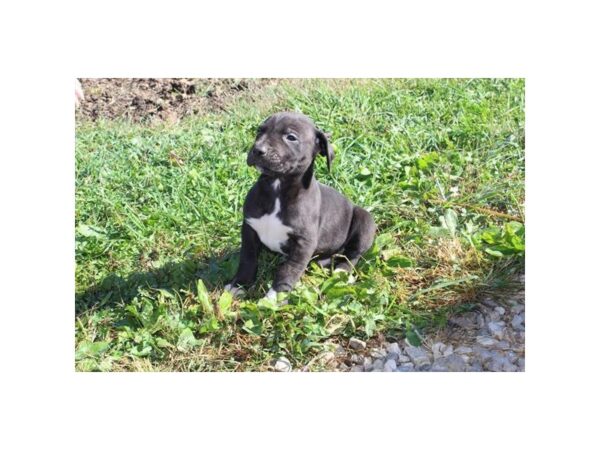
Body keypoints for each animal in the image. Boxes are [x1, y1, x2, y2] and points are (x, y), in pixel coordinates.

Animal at [225, 111, 376, 298]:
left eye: (291, 137)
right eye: (260, 131)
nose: (258, 150)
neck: (277, 189)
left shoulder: (303, 244)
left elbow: (288, 271)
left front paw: (274, 298)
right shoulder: (249, 228)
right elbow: (248, 258)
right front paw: (239, 284)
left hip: (365, 219)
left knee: (353, 254)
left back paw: (341, 272)